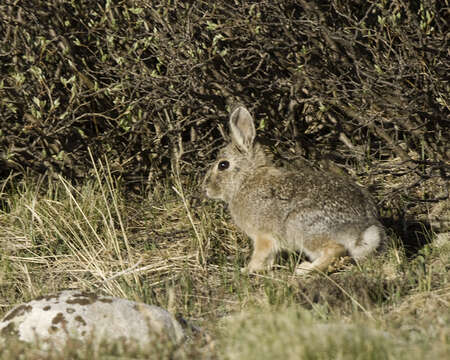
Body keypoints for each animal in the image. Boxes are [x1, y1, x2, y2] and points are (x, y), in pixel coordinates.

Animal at [202, 105, 384, 274]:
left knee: (334, 249)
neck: (245, 180)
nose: (206, 188)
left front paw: (247, 270)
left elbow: (260, 254)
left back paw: (305, 270)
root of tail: (362, 229)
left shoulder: (263, 236)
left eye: (223, 165)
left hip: (301, 226)